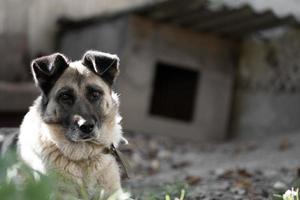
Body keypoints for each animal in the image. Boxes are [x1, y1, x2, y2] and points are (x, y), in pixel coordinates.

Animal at [17, 50, 130, 199]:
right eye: (65, 96)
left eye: (95, 94)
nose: (86, 127)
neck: (84, 156)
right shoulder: (62, 194)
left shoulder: (112, 193)